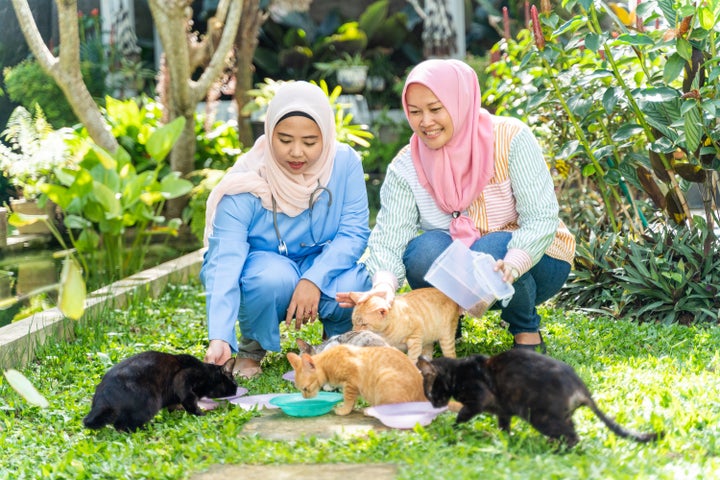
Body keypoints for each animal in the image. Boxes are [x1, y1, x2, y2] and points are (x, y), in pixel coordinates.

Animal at [83, 350, 236, 434]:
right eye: (234, 384)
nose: (236, 391)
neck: (206, 373)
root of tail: (102, 396)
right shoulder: (182, 378)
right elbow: (190, 400)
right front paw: (201, 414)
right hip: (151, 401)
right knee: (123, 425)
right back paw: (147, 428)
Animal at [284, 344, 424, 414]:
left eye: (305, 389)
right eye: (299, 389)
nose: (305, 398)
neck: (328, 363)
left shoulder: (351, 382)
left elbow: (348, 398)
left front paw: (344, 410)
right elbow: (353, 400)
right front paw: (350, 409)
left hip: (385, 378)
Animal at [416, 348, 664, 446]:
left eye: (429, 392)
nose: (433, 404)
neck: (457, 373)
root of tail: (580, 386)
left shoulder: (479, 399)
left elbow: (462, 414)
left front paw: (452, 429)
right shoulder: (504, 411)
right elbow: (504, 426)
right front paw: (505, 440)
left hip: (540, 417)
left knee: (573, 437)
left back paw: (556, 449)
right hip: (558, 416)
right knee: (570, 430)